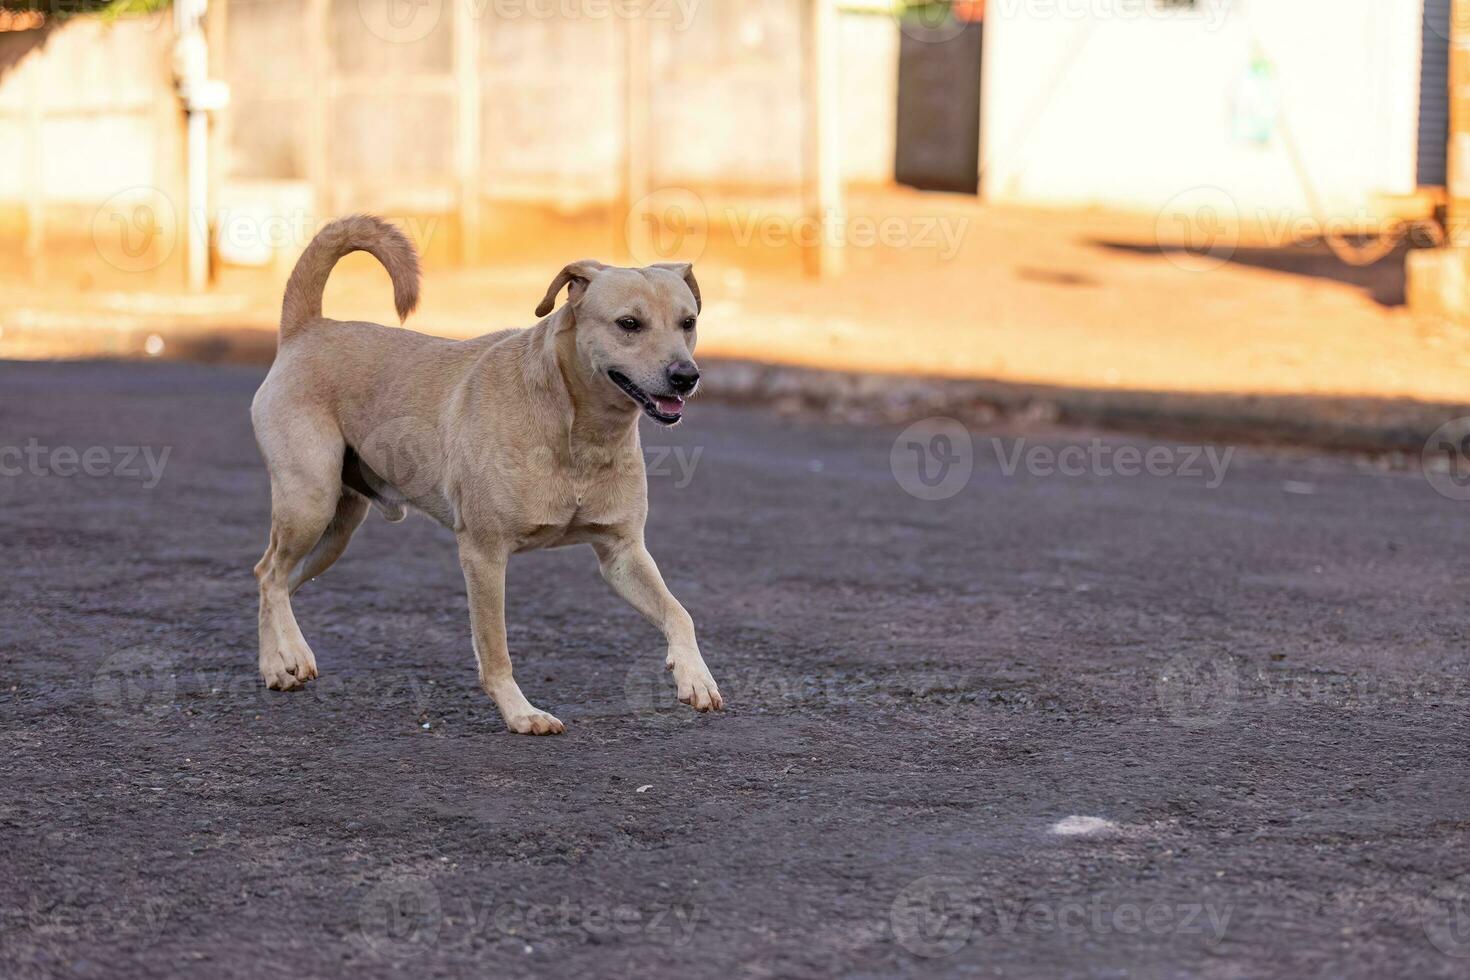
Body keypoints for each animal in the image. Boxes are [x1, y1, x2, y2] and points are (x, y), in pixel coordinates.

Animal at [251, 214, 723, 734]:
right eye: (629, 324)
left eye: (688, 322)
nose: (686, 376)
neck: (578, 431)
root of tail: (308, 328)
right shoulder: (483, 555)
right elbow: (495, 651)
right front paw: (521, 713)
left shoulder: (622, 554)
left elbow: (680, 613)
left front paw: (695, 677)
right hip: (309, 502)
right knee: (270, 574)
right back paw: (289, 657)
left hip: (337, 529)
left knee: (274, 581)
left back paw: (277, 663)